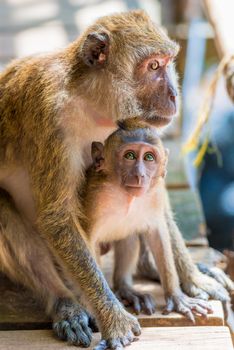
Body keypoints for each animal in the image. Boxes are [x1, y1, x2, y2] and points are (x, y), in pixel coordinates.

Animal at [81, 121, 213, 322]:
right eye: (130, 155)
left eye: (149, 157)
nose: (140, 175)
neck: (125, 196)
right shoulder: (96, 197)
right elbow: (88, 242)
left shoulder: (155, 193)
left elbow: (157, 233)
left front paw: (176, 296)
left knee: (129, 237)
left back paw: (125, 288)